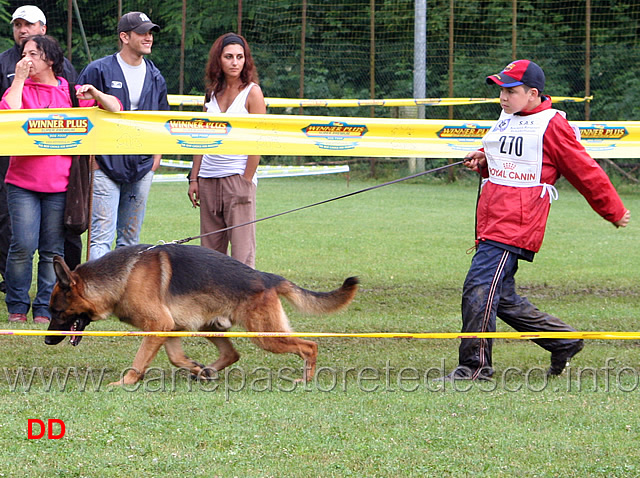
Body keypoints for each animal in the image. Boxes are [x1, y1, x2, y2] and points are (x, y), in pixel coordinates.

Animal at [43, 245, 360, 386]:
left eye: (56, 312)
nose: (46, 341)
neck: (123, 277)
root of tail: (268, 278)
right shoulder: (168, 328)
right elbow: (175, 357)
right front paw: (194, 368)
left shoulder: (158, 325)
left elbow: (139, 362)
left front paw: (125, 383)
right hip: (211, 326)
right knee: (232, 354)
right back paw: (206, 371)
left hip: (265, 335)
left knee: (310, 345)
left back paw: (306, 378)